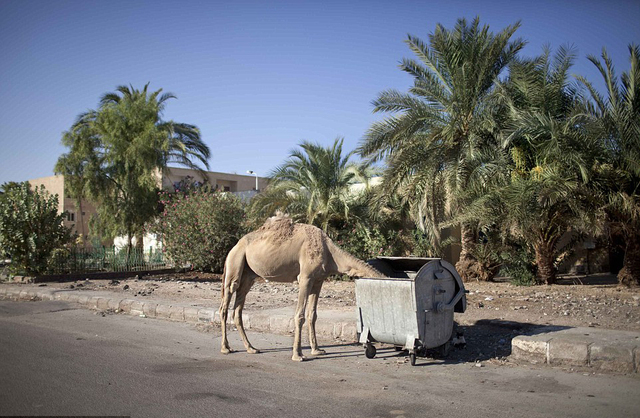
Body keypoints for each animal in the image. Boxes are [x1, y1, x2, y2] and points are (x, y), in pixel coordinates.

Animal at [220, 214, 384, 360]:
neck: (330, 253)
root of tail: (234, 247)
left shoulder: (318, 280)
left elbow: (312, 315)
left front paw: (317, 350)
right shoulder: (305, 278)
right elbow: (300, 315)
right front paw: (298, 355)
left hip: (249, 276)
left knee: (237, 309)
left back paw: (251, 348)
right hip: (235, 264)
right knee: (226, 301)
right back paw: (226, 348)